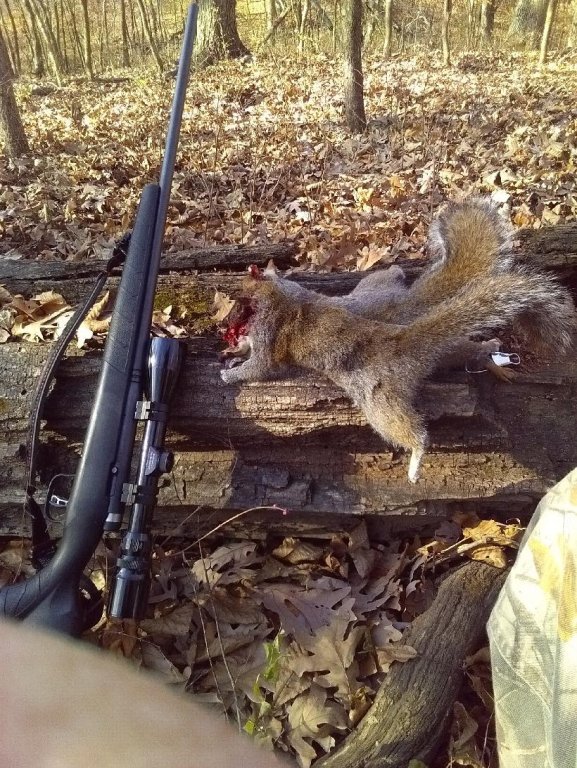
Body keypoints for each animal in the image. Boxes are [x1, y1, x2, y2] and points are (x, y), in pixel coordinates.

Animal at [219, 199, 576, 482]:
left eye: (240, 296)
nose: (224, 324)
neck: (279, 296)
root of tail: (405, 339)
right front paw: (232, 352)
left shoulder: (269, 331)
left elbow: (260, 366)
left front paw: (229, 372)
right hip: (443, 350)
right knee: (466, 349)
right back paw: (488, 350)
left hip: (380, 401)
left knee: (410, 431)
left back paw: (416, 461)